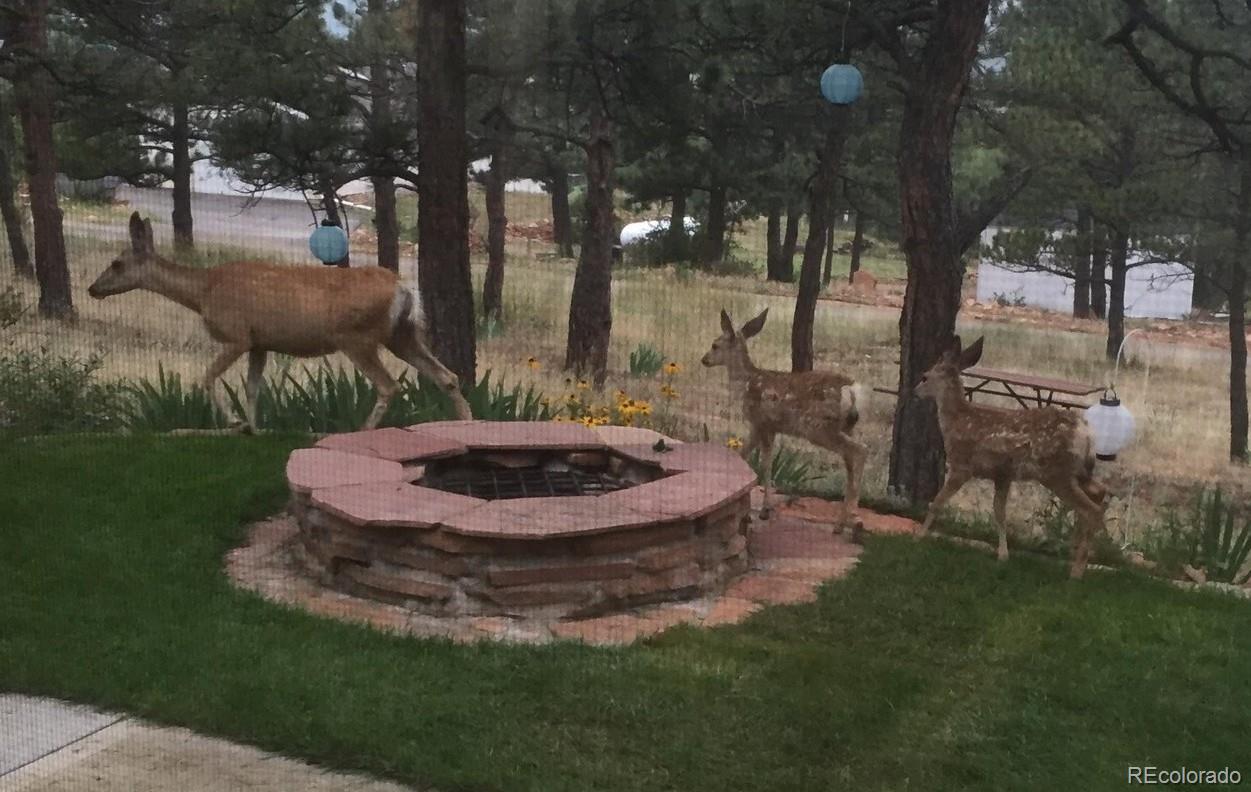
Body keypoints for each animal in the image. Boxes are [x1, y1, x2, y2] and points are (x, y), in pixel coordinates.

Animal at [87, 212, 473, 433]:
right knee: (447, 376)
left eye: (117, 263)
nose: (93, 288)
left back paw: (360, 431)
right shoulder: (260, 343)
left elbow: (207, 377)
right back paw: (468, 424)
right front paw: (255, 429)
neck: (203, 291)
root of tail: (403, 288)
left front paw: (234, 423)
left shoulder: (237, 335)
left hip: (357, 336)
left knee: (389, 385)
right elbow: (252, 387)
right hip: (402, 333)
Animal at [702, 308, 869, 539]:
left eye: (715, 345)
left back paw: (855, 521)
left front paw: (765, 509)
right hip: (846, 427)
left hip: (819, 427)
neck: (746, 382)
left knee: (861, 450)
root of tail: (852, 391)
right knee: (851, 461)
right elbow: (744, 454)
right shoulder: (764, 427)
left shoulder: (762, 422)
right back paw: (840, 525)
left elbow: (764, 462)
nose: (704, 359)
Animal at [913, 335, 1109, 579]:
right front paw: (1003, 555)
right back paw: (1080, 553)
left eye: (925, 376)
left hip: (1056, 472)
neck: (957, 421)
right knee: (1100, 493)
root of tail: (1086, 432)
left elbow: (938, 501)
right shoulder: (1002, 474)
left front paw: (920, 536)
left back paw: (1076, 571)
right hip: (1080, 470)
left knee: (1091, 509)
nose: (915, 391)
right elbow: (1000, 513)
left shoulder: (962, 465)